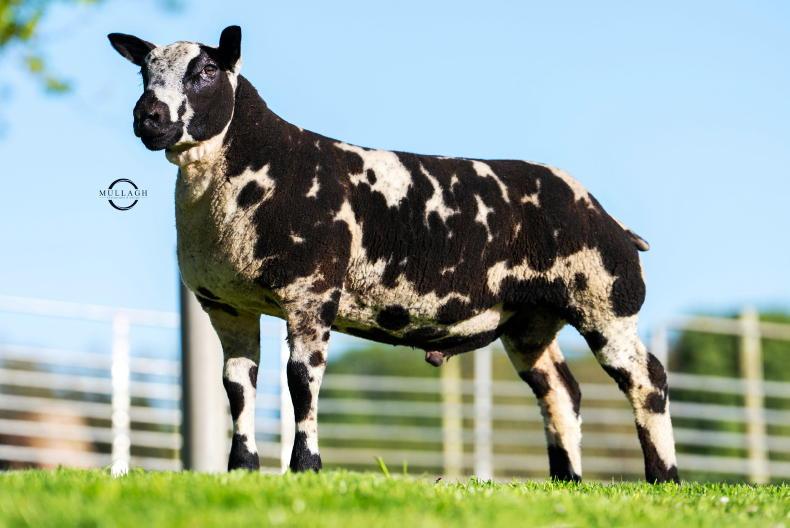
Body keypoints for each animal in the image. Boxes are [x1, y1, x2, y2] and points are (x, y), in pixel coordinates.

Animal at [108, 25, 679, 482]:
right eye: (142, 73)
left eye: (205, 71)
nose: (147, 116)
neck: (255, 167)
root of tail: (607, 216)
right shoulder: (227, 305)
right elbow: (237, 387)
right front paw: (242, 470)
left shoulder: (312, 293)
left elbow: (301, 381)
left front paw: (306, 468)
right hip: (530, 320)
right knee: (560, 391)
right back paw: (568, 482)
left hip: (604, 300)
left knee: (646, 378)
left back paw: (664, 477)